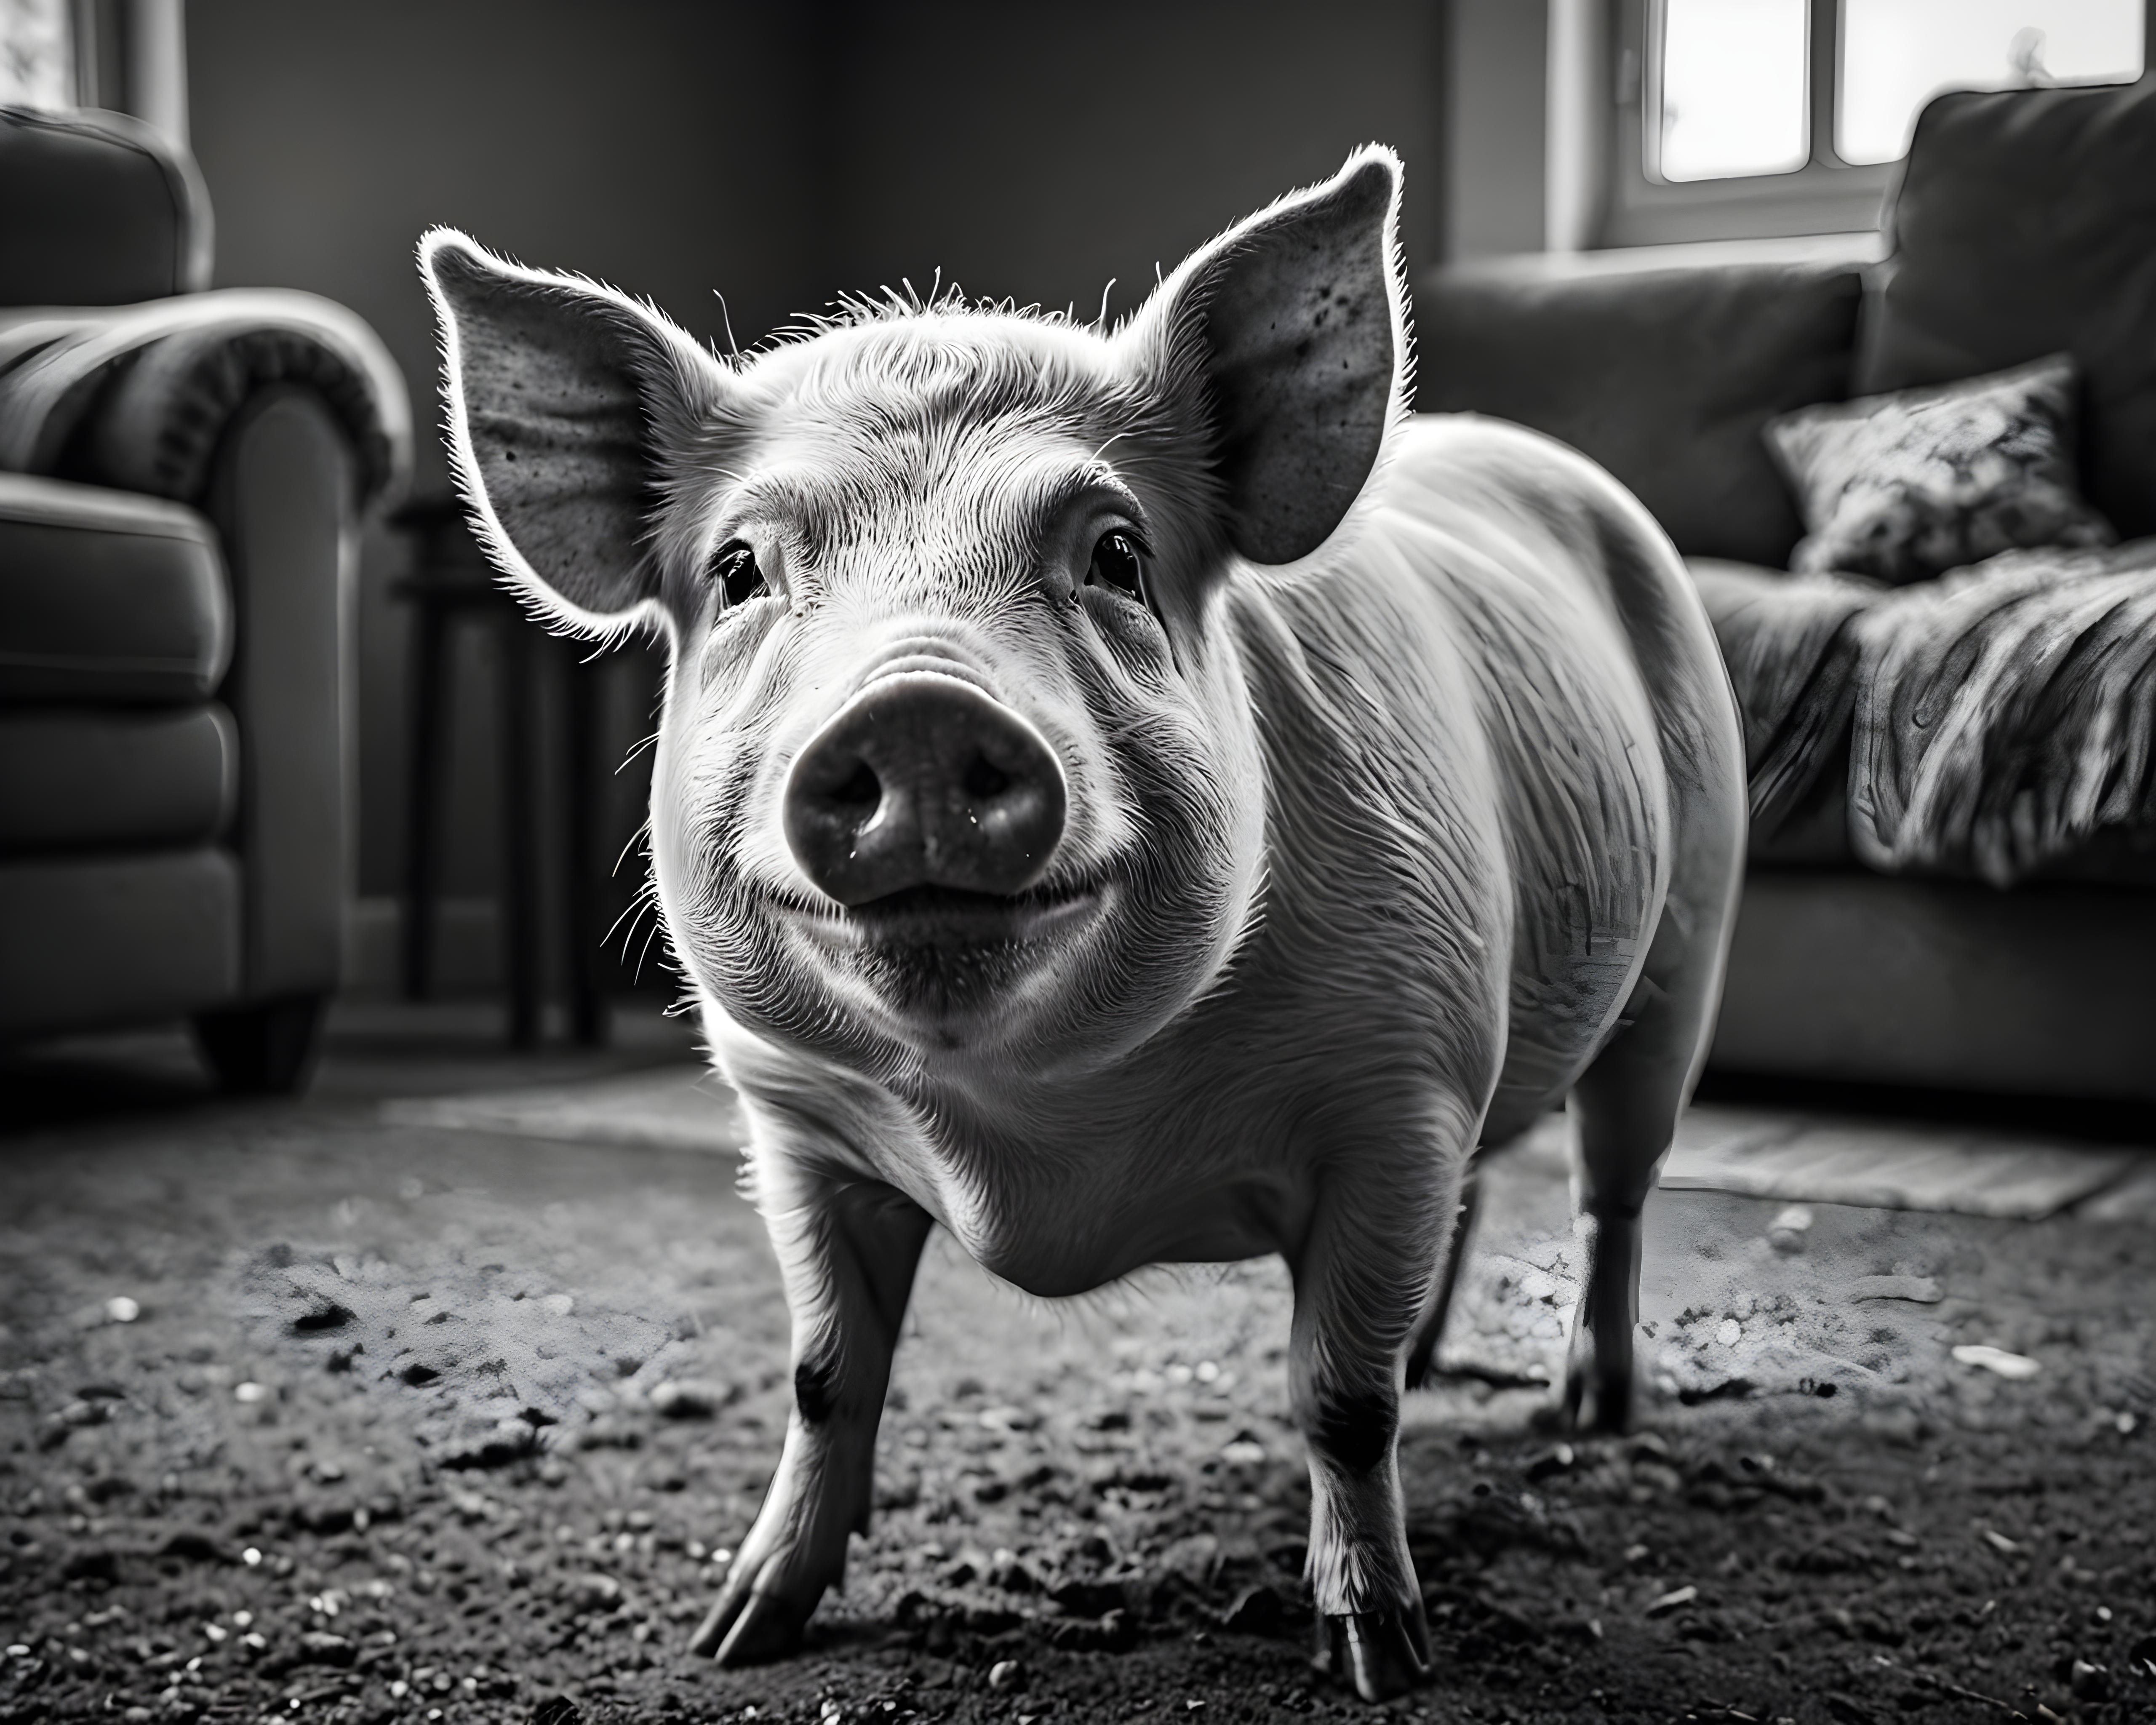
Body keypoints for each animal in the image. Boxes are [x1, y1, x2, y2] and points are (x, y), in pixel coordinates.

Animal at [422, 146, 1745, 1702]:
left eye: (1115, 551)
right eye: (742, 569)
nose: (917, 709)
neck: (1029, 1142)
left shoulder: (1396, 1085)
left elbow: (1338, 1398)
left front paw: (1378, 1657)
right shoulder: (792, 1124)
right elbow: (825, 1376)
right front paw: (739, 1629)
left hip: (1685, 955)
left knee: (1615, 1190)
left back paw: (1590, 1411)